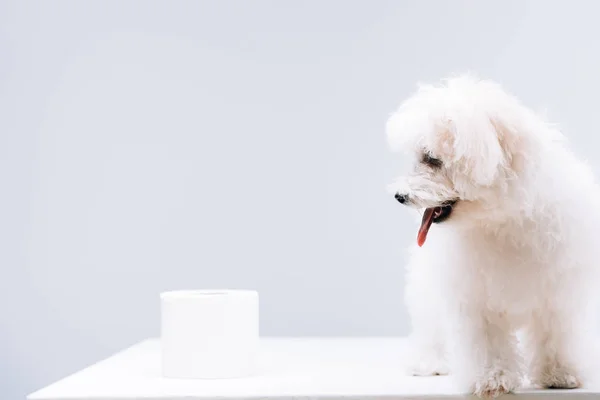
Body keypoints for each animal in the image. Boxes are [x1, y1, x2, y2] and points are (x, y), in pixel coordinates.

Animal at [386, 74, 596, 396]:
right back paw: (428, 362)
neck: (501, 218)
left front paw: (559, 372)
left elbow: (555, 332)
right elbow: (487, 342)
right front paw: (492, 378)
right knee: (430, 327)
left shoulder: (558, 289)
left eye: (431, 159)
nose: (399, 196)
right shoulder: (474, 297)